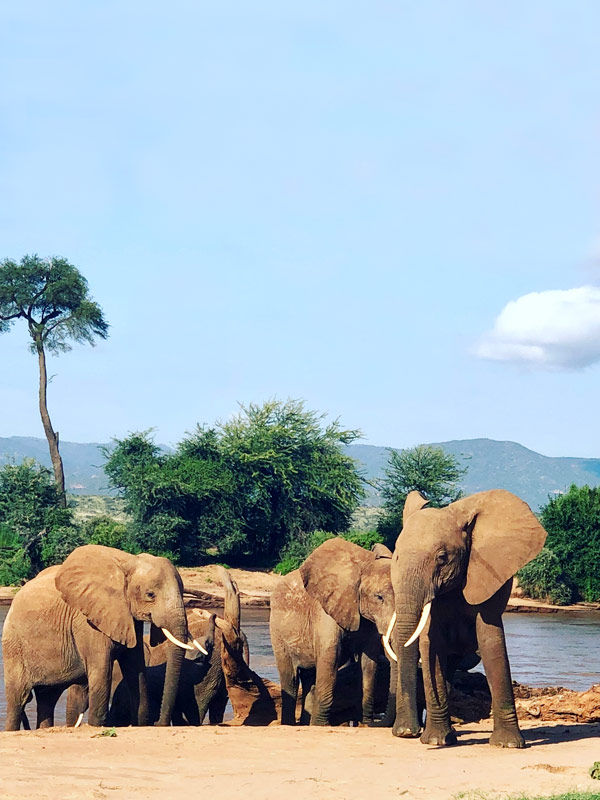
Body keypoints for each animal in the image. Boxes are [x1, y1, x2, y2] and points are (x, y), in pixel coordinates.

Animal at [2, 544, 194, 729]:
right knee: (19, 698)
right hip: (14, 645)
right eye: (150, 594)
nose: (160, 724)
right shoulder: (87, 621)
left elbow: (136, 669)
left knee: (47, 698)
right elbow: (102, 670)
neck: (129, 561)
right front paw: (96, 725)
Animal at [269, 538, 396, 726]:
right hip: (278, 632)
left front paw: (365, 725)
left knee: (310, 679)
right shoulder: (326, 613)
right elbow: (330, 658)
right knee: (290, 680)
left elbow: (369, 663)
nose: (375, 721)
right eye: (379, 597)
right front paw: (321, 726)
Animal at [388, 489, 547, 748]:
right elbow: (431, 645)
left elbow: (491, 639)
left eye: (442, 557)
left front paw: (508, 745)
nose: (408, 732)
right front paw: (435, 741)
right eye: (396, 556)